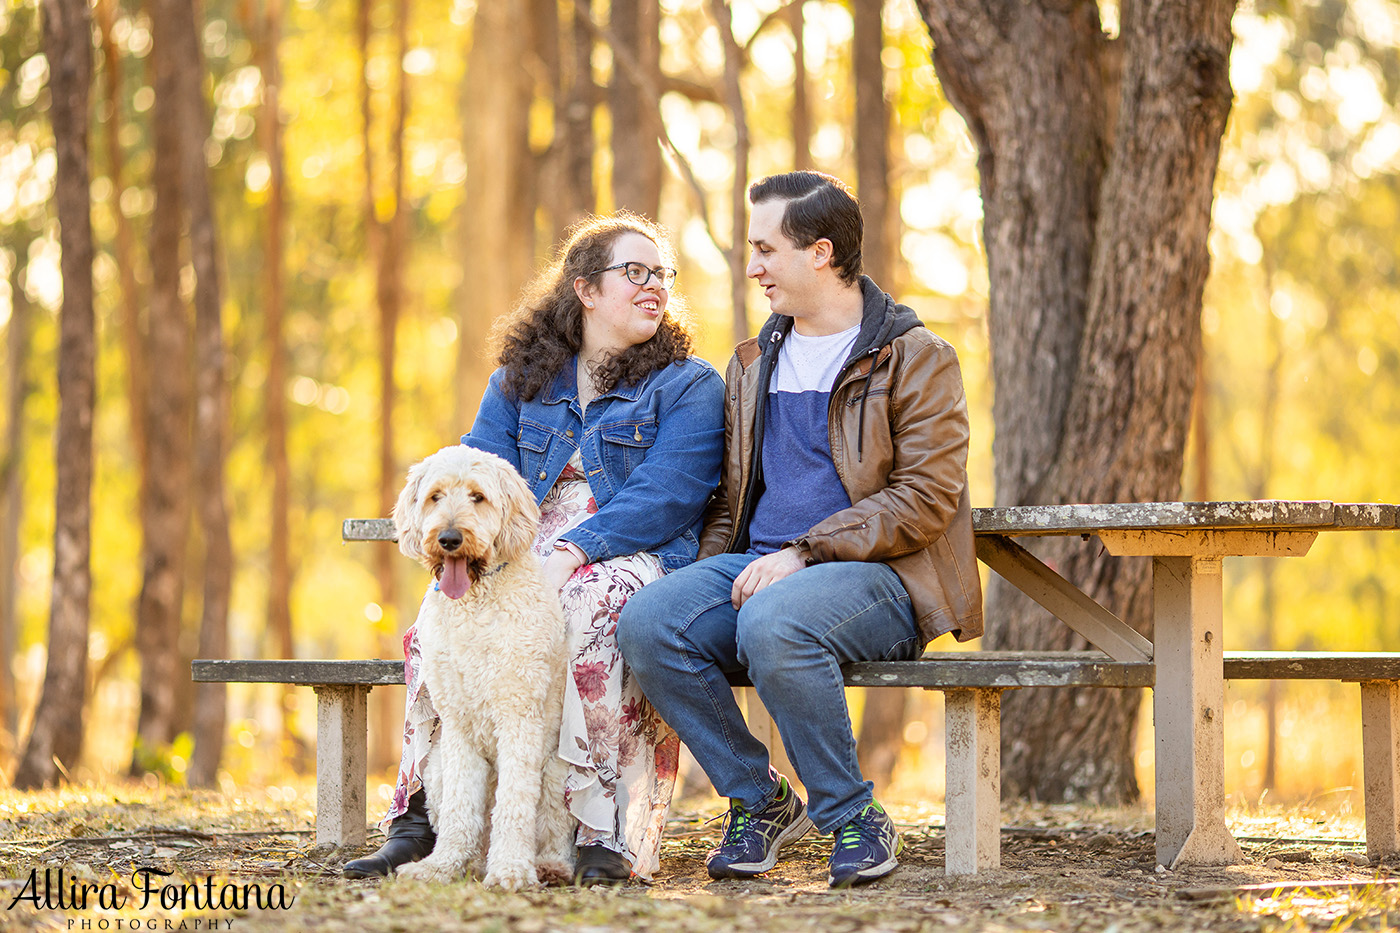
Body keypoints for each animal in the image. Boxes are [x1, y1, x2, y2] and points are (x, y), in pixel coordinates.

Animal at [389, 442, 574, 885]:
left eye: (478, 496)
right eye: (435, 496)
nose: (449, 538)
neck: (475, 603)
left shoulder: (518, 716)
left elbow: (513, 804)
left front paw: (510, 871)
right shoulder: (458, 724)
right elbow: (461, 807)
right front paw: (441, 866)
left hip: (557, 771)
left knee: (553, 826)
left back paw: (548, 865)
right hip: (435, 768)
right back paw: (468, 862)